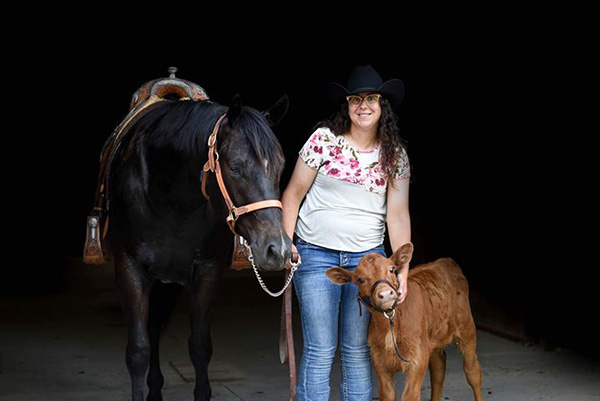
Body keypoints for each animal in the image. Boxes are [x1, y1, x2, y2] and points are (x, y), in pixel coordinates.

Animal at [109, 94, 292, 400]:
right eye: (235, 167)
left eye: (280, 166)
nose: (276, 250)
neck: (173, 202)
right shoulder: (128, 268)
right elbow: (137, 352)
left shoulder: (208, 272)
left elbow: (200, 347)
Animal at [326, 242, 480, 398]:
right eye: (360, 280)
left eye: (392, 269)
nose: (385, 294)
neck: (391, 325)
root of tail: (445, 261)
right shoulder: (380, 362)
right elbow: (387, 393)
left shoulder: (417, 361)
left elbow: (410, 395)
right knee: (438, 369)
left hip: (467, 328)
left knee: (473, 371)